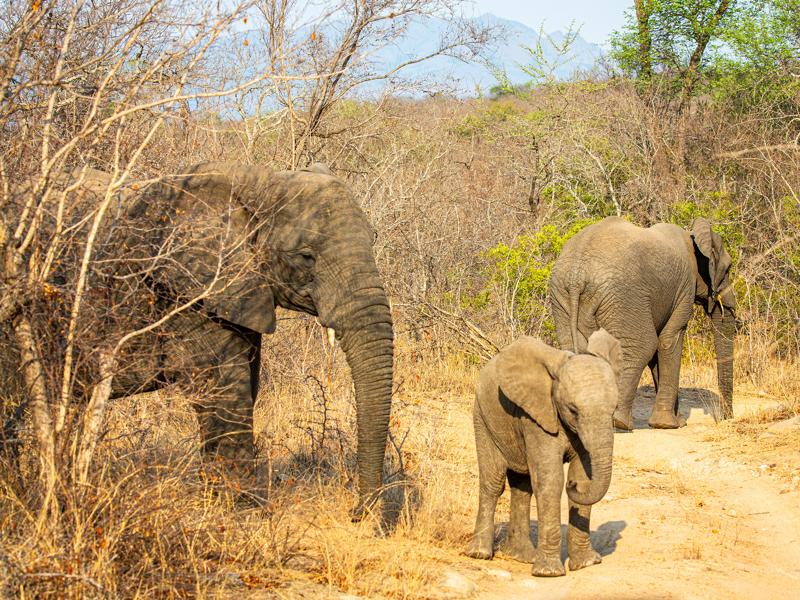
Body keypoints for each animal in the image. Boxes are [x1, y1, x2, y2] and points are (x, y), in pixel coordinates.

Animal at [6, 161, 393, 518]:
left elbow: (244, 385)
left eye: (375, 238)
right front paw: (245, 514)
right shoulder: (186, 289)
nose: (357, 513)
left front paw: (220, 503)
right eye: (305, 256)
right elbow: (226, 388)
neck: (256, 181)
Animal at [466, 329, 621, 577]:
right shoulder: (537, 416)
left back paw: (522, 556)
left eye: (615, 409)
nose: (572, 486)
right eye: (573, 410)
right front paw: (548, 573)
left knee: (522, 486)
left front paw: (586, 564)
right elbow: (551, 481)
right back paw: (479, 554)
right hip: (482, 416)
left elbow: (583, 477)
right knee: (493, 481)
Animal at [549, 216, 736, 431]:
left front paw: (677, 421)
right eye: (728, 269)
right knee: (642, 346)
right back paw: (620, 422)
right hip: (624, 296)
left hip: (561, 296)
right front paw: (668, 424)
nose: (725, 418)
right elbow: (669, 340)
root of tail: (576, 276)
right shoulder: (685, 288)